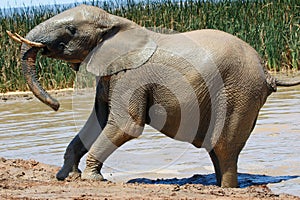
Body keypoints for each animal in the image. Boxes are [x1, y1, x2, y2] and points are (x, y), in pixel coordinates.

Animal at [7, 4, 300, 188]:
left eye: (71, 30)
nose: (56, 105)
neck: (115, 21)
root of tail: (266, 71)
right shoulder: (111, 75)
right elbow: (98, 122)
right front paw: (67, 176)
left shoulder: (132, 78)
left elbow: (124, 125)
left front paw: (91, 179)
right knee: (217, 150)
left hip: (239, 92)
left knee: (225, 147)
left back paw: (227, 190)